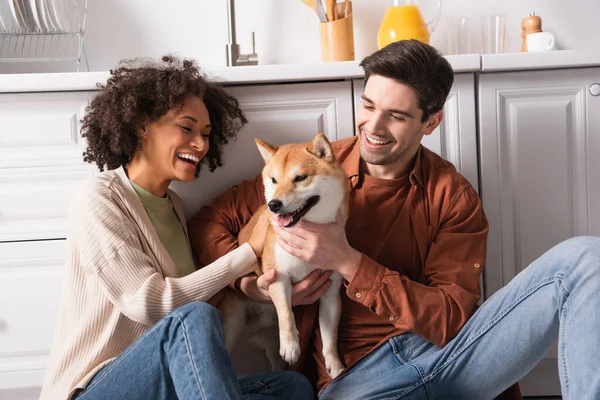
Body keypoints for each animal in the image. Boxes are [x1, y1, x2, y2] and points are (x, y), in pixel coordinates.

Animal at [218, 134, 350, 378]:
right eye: (273, 180)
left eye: (300, 178)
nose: (274, 204)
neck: (307, 237)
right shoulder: (277, 277)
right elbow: (286, 314)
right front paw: (290, 345)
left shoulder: (330, 293)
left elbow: (330, 339)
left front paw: (336, 366)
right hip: (233, 324)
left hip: (268, 341)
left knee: (274, 360)